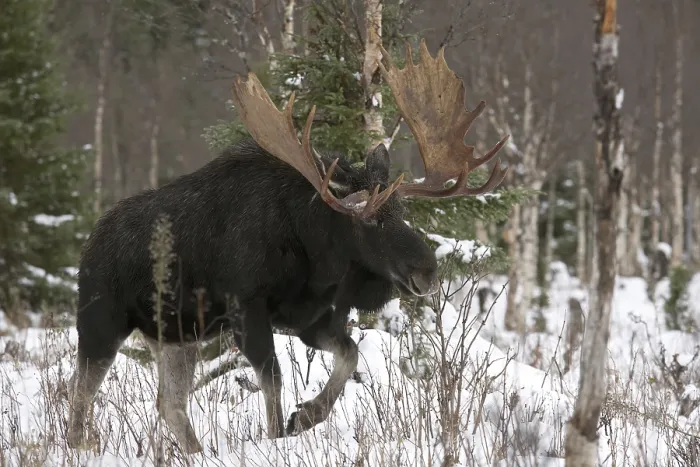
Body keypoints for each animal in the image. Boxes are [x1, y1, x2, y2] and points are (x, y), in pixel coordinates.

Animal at [67, 39, 509, 454]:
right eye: (367, 218)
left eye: (401, 209)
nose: (427, 270)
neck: (316, 258)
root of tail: (88, 246)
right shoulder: (247, 311)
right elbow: (275, 381)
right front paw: (280, 432)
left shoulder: (307, 316)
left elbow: (349, 353)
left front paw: (307, 415)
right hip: (101, 321)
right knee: (80, 394)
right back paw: (82, 444)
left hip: (175, 335)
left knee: (169, 403)